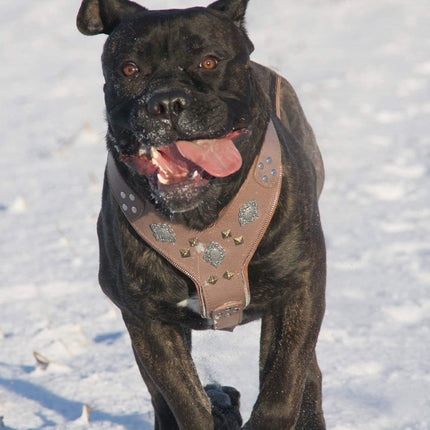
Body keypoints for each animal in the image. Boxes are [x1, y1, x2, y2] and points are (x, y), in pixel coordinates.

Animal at [77, 0, 326, 426]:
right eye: (129, 69)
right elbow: (185, 400)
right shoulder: (149, 321)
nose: (166, 103)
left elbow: (283, 381)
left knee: (308, 375)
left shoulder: (300, 289)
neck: (202, 218)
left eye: (209, 61)